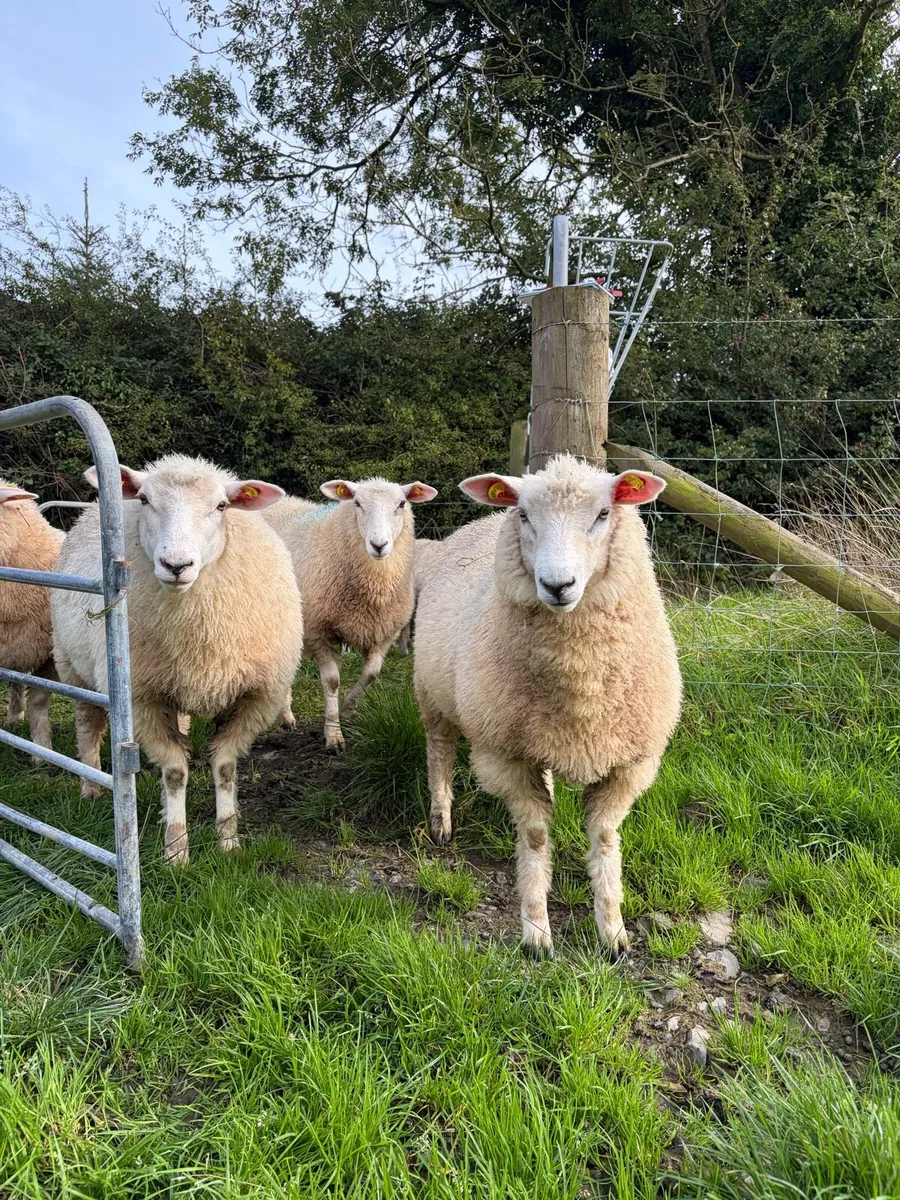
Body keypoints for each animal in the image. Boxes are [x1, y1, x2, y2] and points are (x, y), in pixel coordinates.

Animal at [52, 455, 304, 865]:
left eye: (221, 506)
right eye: (143, 499)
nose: (176, 565)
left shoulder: (256, 697)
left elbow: (226, 767)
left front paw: (228, 841)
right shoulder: (142, 700)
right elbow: (174, 771)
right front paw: (176, 850)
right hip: (73, 666)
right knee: (87, 724)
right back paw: (90, 786)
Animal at [264, 478, 437, 751]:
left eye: (401, 504)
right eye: (357, 503)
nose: (379, 545)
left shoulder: (383, 632)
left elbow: (372, 674)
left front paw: (347, 707)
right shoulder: (318, 630)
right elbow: (332, 681)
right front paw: (334, 734)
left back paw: (287, 716)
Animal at [413, 455, 682, 959]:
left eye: (603, 514)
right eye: (523, 515)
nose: (558, 585)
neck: (581, 686)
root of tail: (477, 523)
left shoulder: (630, 762)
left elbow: (605, 838)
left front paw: (613, 932)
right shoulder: (503, 754)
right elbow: (536, 836)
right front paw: (536, 932)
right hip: (433, 692)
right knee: (439, 750)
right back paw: (441, 820)